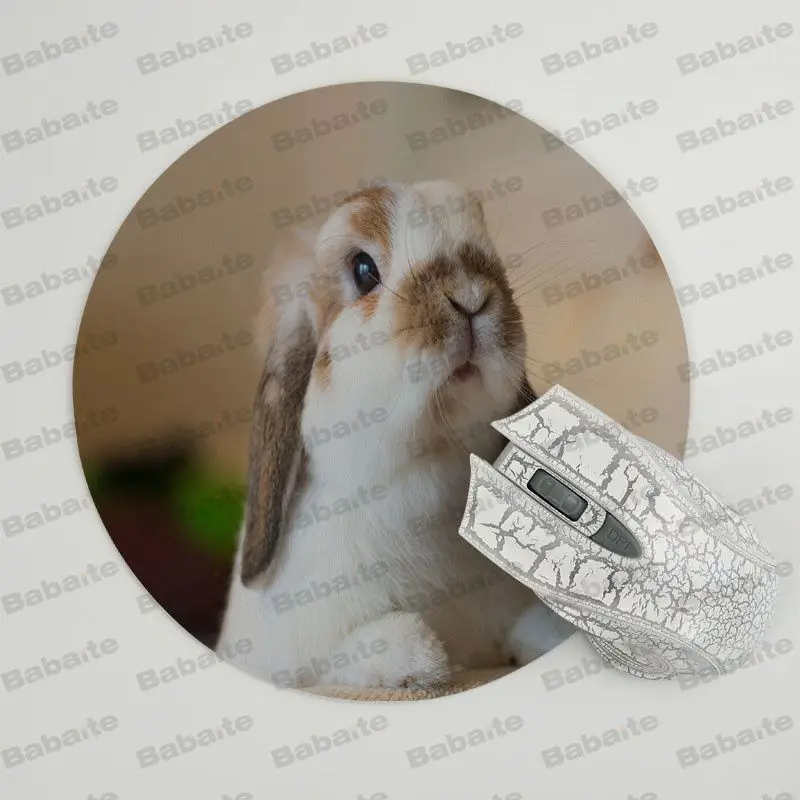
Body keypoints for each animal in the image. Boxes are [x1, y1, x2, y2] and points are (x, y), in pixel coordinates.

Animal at [217, 178, 575, 691]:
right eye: (364, 270)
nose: (470, 297)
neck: (431, 459)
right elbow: (348, 661)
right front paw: (417, 657)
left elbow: (528, 632)